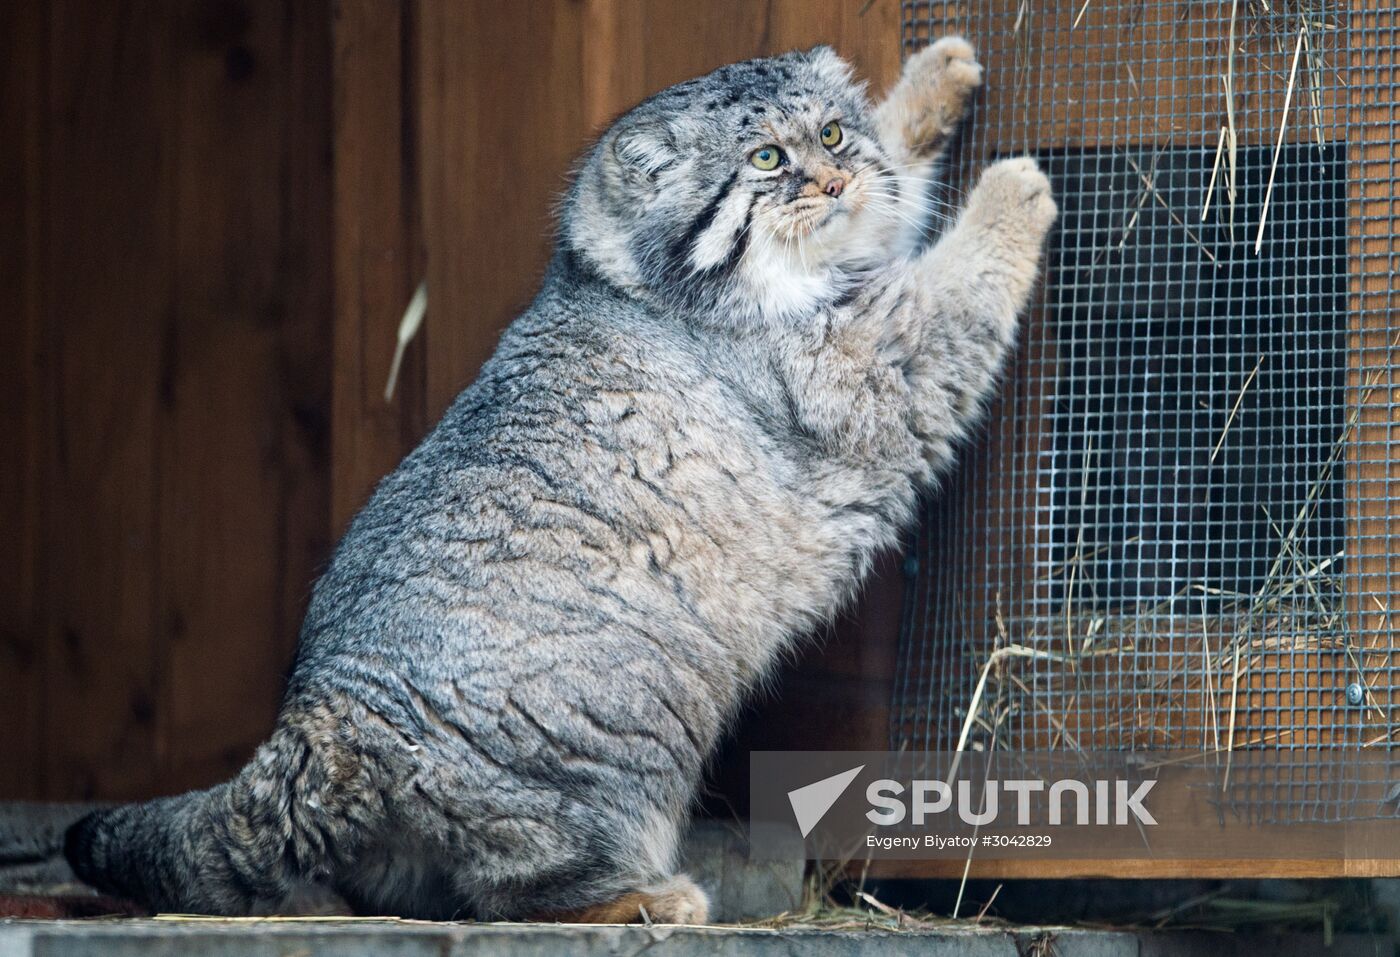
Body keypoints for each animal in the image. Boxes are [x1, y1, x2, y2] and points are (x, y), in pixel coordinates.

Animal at [65, 41, 1052, 923]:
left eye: (836, 135)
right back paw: (647, 899)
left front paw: (931, 83)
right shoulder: (877, 368)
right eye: (768, 161)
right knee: (517, 895)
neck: (641, 283)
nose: (837, 182)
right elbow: (955, 287)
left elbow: (901, 201)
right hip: (621, 750)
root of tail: (325, 717)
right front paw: (1012, 189)